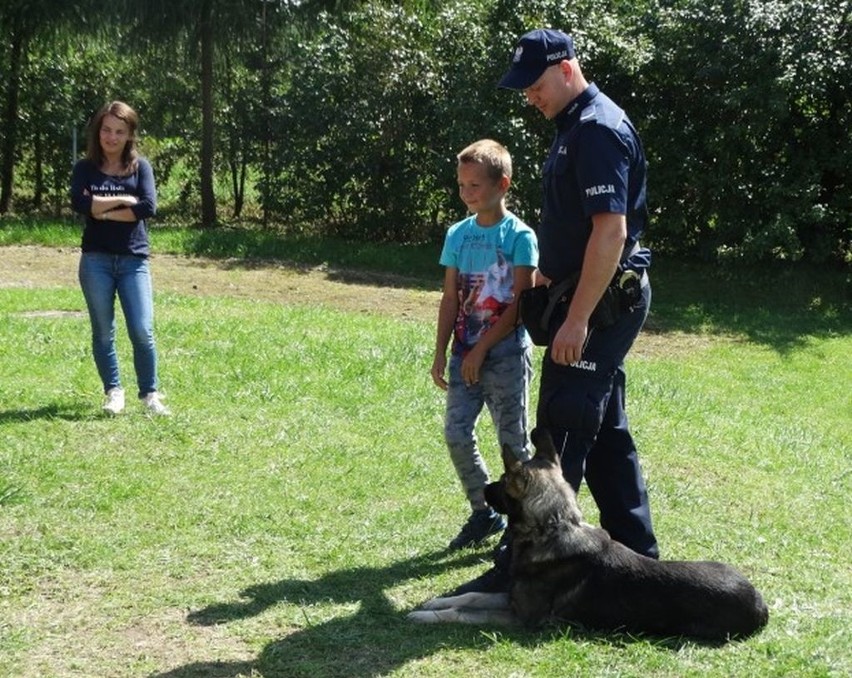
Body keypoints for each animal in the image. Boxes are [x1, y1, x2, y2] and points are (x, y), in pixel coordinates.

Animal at [410, 430, 768, 644]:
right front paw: (434, 601)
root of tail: (761, 605)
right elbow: (470, 597)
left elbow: (461, 613)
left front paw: (425, 616)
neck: (552, 527)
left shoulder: (520, 618)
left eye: (501, 481)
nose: (484, 490)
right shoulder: (510, 598)